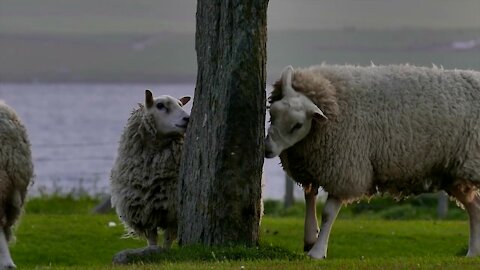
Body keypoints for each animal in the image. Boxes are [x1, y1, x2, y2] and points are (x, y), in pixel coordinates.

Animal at [109, 90, 190, 253]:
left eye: (180, 104)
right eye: (160, 106)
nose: (188, 118)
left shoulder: (173, 212)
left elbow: (167, 240)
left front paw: (165, 252)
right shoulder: (145, 211)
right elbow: (152, 240)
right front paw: (152, 251)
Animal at [264, 65, 480, 260]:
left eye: (298, 125)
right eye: (272, 114)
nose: (267, 149)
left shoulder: (346, 169)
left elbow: (328, 213)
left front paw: (317, 252)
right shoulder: (314, 165)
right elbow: (310, 197)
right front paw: (310, 238)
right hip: (453, 174)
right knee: (475, 207)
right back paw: (472, 253)